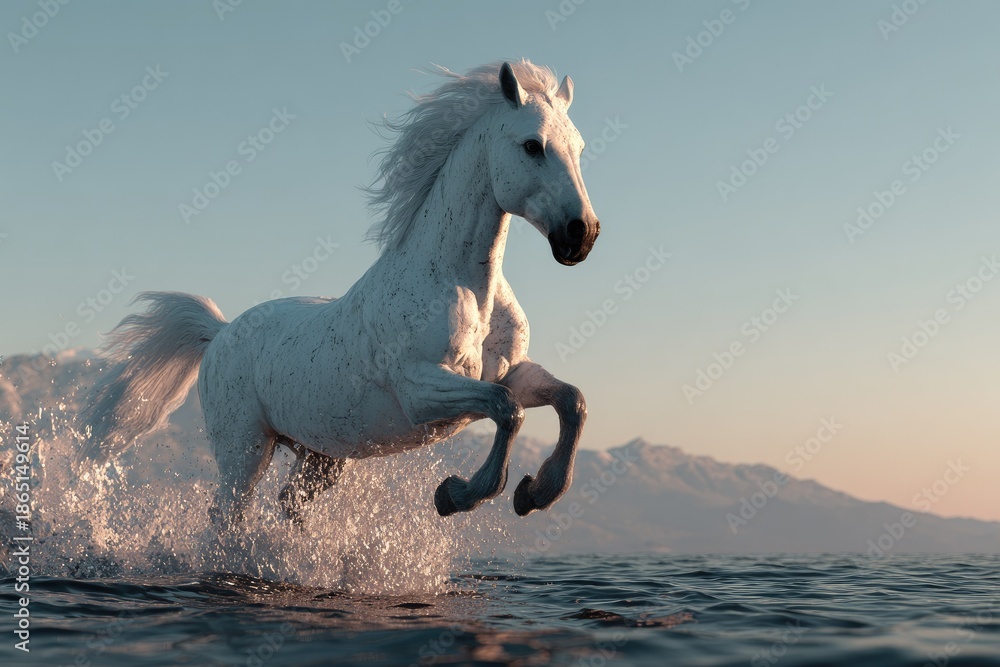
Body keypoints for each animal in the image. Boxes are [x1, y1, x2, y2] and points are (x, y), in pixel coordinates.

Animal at [76, 60, 601, 531]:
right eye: (532, 146)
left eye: (578, 147)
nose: (582, 235)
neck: (463, 288)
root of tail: (219, 333)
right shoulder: (421, 390)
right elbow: (507, 410)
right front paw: (455, 494)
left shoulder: (512, 372)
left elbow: (570, 400)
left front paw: (537, 492)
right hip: (245, 448)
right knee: (226, 518)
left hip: (321, 454)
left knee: (289, 504)